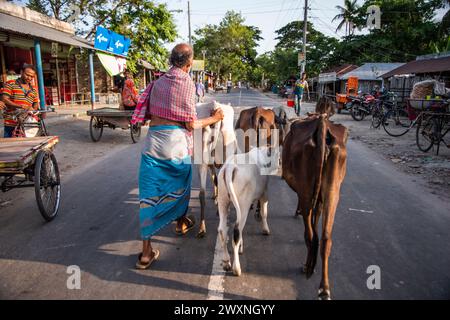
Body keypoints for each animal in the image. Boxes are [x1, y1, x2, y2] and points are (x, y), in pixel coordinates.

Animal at [193, 100, 236, 238]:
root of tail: (215, 105)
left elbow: (215, 179)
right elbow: (216, 179)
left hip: (202, 159)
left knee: (202, 193)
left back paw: (202, 228)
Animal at [215, 146, 278, 276]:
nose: (279, 164)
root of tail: (230, 167)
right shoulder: (264, 194)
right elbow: (264, 213)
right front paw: (266, 229)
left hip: (223, 200)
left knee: (223, 230)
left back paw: (226, 262)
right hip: (243, 204)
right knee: (236, 231)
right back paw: (236, 268)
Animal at [284, 113, 350, 300]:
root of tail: (322, 124)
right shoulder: (319, 197)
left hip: (307, 191)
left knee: (311, 235)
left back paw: (308, 267)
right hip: (333, 192)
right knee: (325, 238)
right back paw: (324, 288)